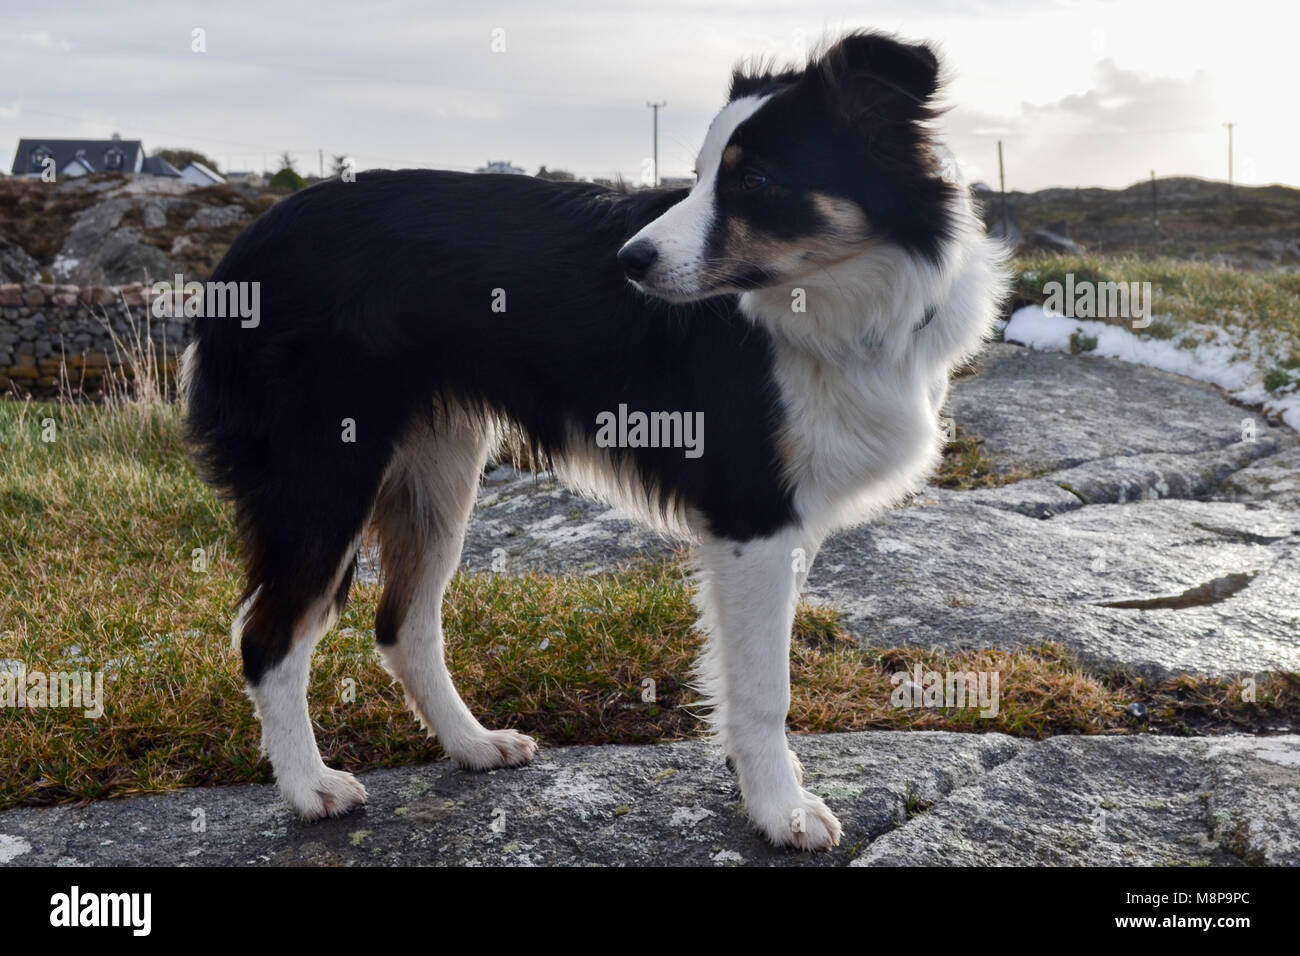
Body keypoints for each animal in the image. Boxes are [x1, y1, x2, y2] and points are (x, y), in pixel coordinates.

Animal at [183, 31, 1003, 853]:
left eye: (756, 180)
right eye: (700, 176)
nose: (628, 263)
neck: (840, 298)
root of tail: (242, 251)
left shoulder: (781, 526)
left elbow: (749, 670)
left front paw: (761, 782)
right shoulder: (754, 514)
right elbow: (765, 685)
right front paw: (782, 809)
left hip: (440, 469)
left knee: (403, 625)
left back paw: (472, 745)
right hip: (324, 474)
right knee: (268, 639)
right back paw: (309, 787)